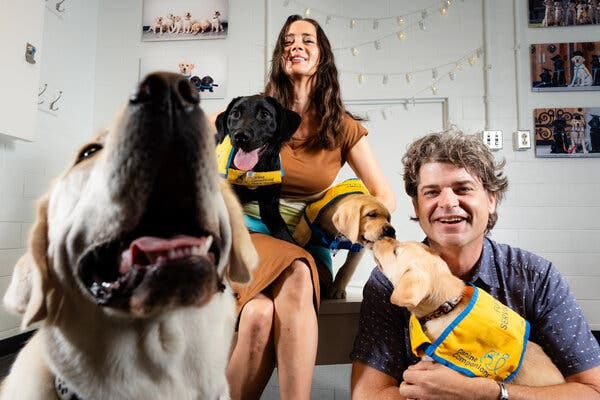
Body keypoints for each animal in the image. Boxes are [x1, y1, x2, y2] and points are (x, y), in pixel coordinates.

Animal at [214, 95, 300, 242]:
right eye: (235, 114)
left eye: (265, 114)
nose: (240, 136)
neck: (252, 172)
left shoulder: (270, 206)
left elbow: (285, 235)